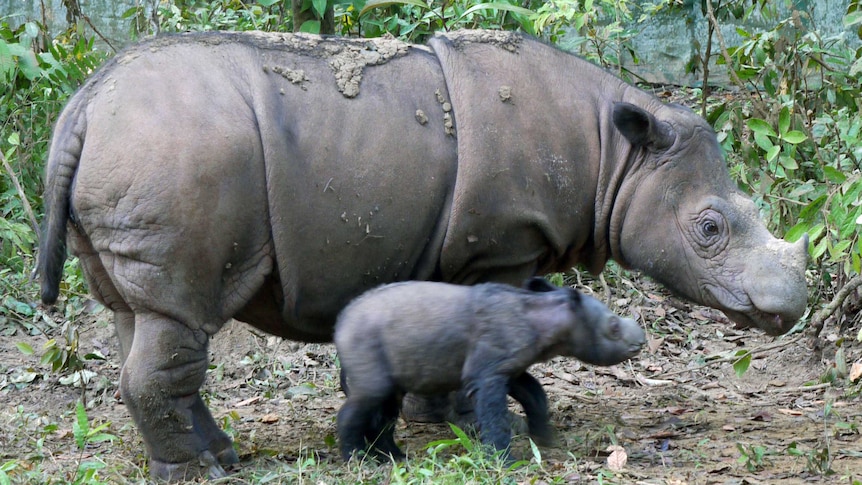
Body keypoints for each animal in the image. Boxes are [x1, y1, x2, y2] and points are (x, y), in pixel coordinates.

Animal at [334, 278, 644, 460]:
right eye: (613, 327)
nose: (642, 338)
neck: (538, 318)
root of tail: (340, 326)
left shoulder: (510, 368)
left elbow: (536, 396)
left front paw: (544, 437)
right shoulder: (485, 375)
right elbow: (495, 417)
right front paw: (502, 459)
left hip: (392, 383)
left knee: (383, 419)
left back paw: (394, 457)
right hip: (372, 376)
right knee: (350, 414)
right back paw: (356, 457)